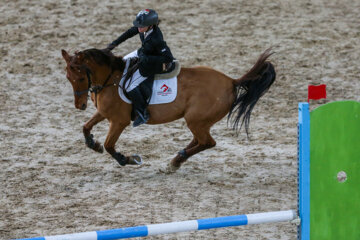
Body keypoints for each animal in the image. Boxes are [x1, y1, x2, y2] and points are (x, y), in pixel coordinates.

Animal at [61, 48, 276, 172]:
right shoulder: (104, 114)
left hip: (195, 120)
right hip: (198, 122)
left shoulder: (119, 121)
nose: (80, 106)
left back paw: (175, 162)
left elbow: (109, 146)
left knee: (207, 142)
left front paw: (128, 159)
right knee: (200, 141)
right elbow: (86, 127)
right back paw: (177, 159)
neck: (110, 80)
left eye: (81, 77)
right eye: (68, 78)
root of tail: (231, 81)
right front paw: (93, 144)